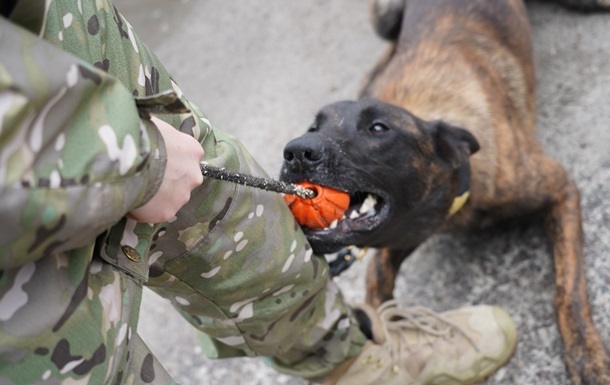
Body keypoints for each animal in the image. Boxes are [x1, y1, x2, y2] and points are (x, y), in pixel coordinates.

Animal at [280, 0, 608, 384]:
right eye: (313, 127)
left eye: (378, 129)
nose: (296, 153)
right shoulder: (398, 239)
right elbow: (377, 292)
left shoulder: (561, 189)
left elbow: (568, 291)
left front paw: (588, 357)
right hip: (384, 15)